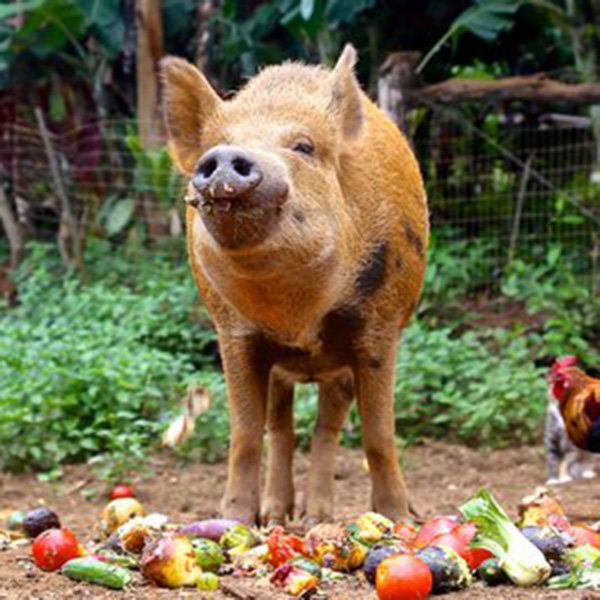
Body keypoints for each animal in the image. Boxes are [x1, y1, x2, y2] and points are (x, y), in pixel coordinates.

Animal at [161, 45, 426, 524]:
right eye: (214, 146)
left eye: (303, 146)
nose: (225, 156)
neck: (294, 319)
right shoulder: (235, 336)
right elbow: (245, 434)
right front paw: (234, 521)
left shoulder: (379, 327)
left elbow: (379, 433)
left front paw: (399, 521)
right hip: (280, 372)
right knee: (281, 426)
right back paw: (277, 516)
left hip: (342, 366)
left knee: (327, 425)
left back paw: (318, 518)